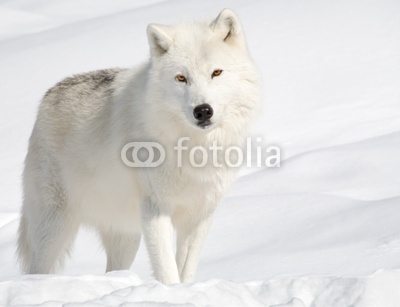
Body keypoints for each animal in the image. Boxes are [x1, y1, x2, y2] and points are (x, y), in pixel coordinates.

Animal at [17, 8, 260, 286]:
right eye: (181, 78)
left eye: (216, 73)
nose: (202, 111)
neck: (195, 149)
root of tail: (48, 94)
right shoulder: (155, 210)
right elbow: (167, 270)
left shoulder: (199, 216)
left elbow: (186, 270)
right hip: (55, 229)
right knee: (36, 270)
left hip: (126, 237)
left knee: (113, 270)